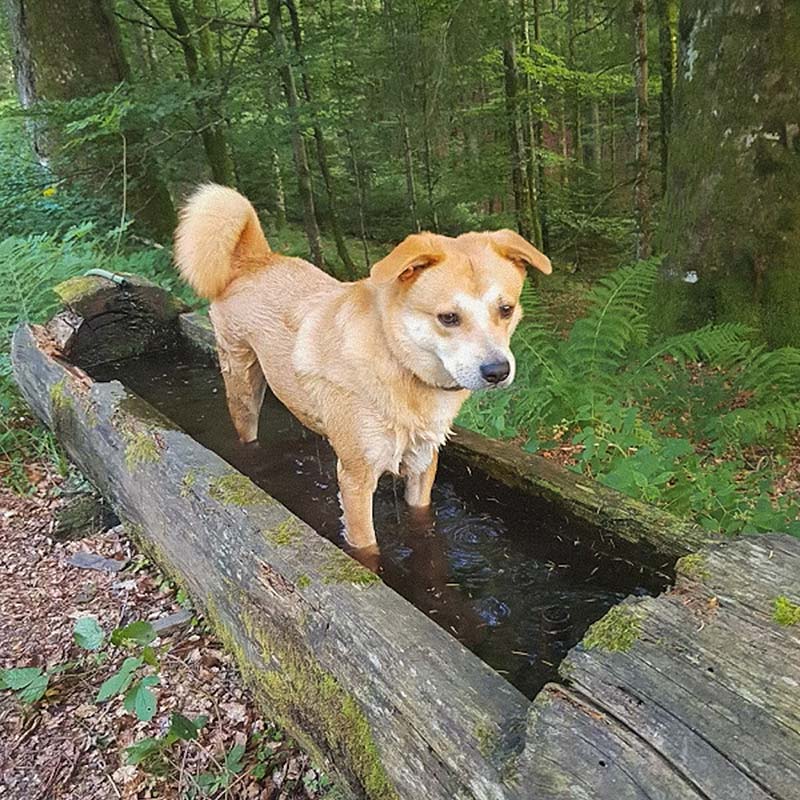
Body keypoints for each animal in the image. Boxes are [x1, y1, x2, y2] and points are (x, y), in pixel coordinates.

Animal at [174, 185, 551, 551]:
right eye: (448, 317)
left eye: (506, 309)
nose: (497, 371)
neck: (399, 362)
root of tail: (255, 259)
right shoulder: (356, 478)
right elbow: (367, 546)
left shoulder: (422, 464)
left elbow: (421, 517)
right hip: (242, 388)